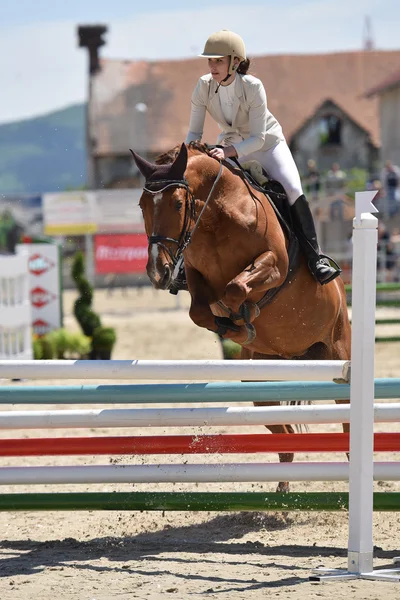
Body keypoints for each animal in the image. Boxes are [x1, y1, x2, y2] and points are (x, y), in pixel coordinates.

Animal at [130, 142, 350, 492]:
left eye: (177, 204)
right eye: (142, 205)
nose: (157, 272)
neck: (215, 217)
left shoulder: (274, 264)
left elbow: (235, 288)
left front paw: (243, 317)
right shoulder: (195, 275)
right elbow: (199, 311)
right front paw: (234, 325)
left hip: (338, 351)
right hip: (259, 383)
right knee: (285, 437)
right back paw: (283, 490)